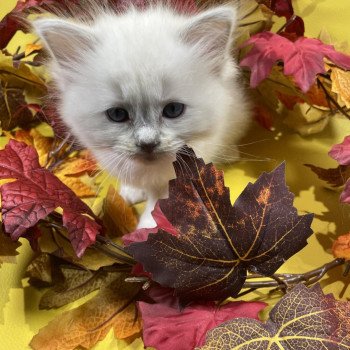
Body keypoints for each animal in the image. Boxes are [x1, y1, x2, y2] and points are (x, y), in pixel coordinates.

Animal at [32, 2, 250, 228]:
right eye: (117, 114)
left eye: (173, 110)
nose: (148, 143)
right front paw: (132, 190)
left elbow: (160, 206)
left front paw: (146, 227)